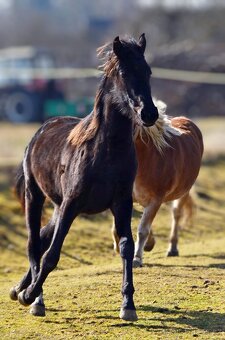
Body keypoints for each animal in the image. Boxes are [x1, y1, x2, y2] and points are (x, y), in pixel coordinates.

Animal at [9, 34, 158, 322]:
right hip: (36, 196)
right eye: (124, 72)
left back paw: (18, 288)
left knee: (42, 238)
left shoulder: (121, 203)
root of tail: (41, 129)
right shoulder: (72, 204)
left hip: (57, 206)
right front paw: (29, 296)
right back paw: (34, 298)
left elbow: (126, 246)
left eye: (148, 72)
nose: (149, 113)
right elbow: (52, 255)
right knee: (34, 243)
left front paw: (128, 305)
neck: (106, 151)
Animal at [112, 99, 204, 266]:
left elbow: (142, 229)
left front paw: (137, 258)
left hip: (183, 192)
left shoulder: (156, 199)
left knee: (176, 214)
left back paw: (172, 249)